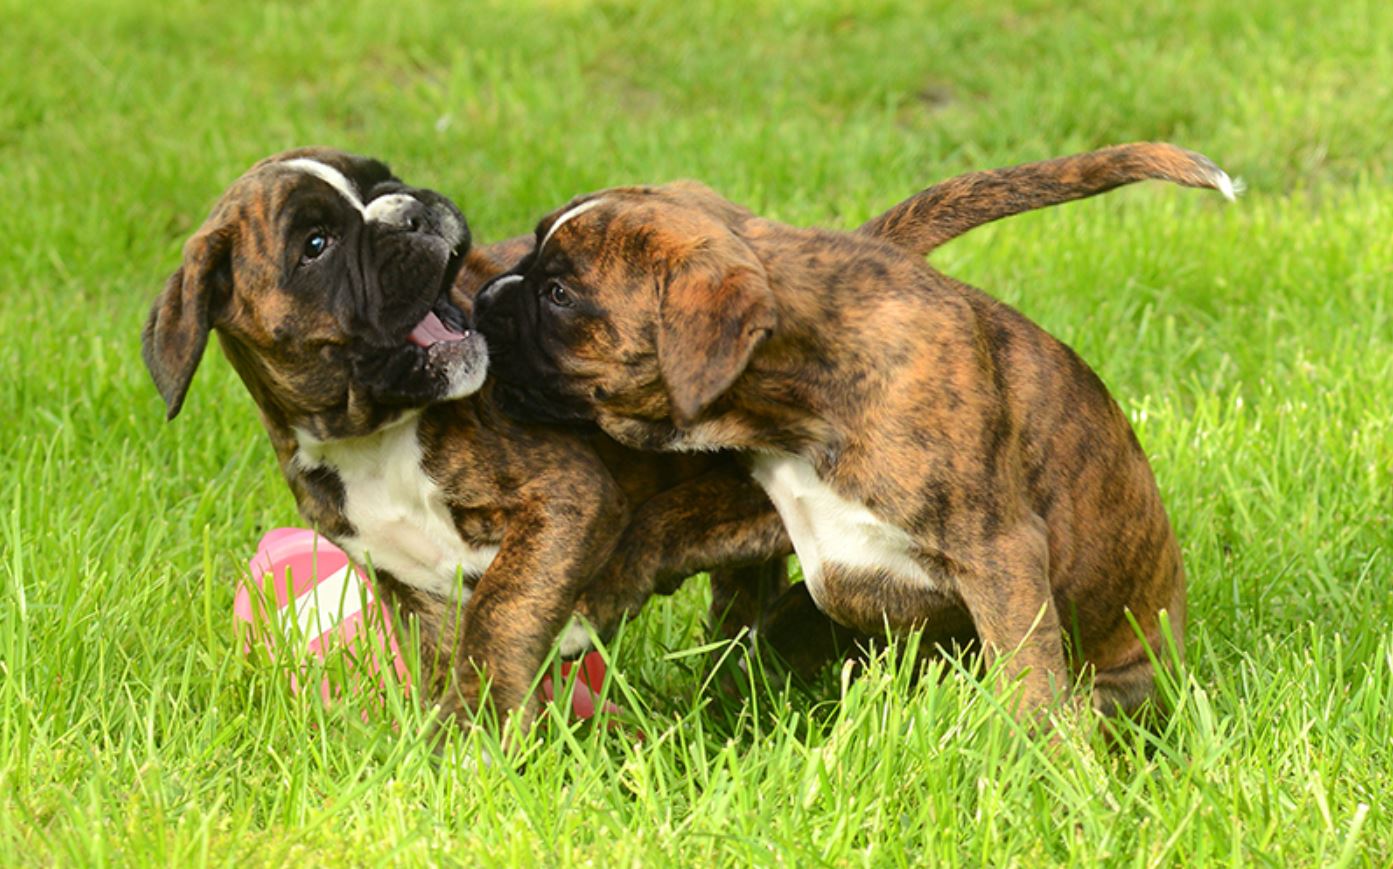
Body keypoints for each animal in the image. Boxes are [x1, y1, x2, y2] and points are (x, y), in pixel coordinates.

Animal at [473, 142, 1236, 718]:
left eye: (558, 294)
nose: (482, 298)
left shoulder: (1001, 556)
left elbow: (1028, 679)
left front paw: (1044, 770)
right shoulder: (769, 508)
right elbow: (657, 525)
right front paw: (582, 607)